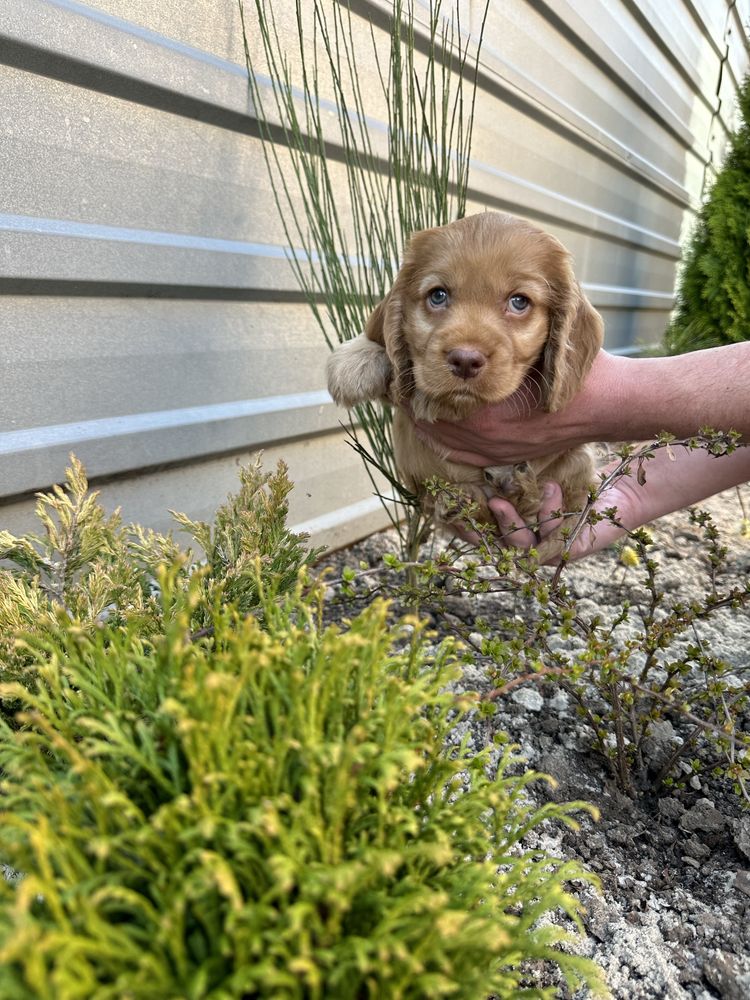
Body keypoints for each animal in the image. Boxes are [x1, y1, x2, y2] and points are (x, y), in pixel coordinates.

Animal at [328, 213, 604, 556]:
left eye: (519, 302)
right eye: (438, 296)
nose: (465, 360)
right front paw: (353, 362)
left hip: (578, 461)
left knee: (534, 500)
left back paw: (510, 485)